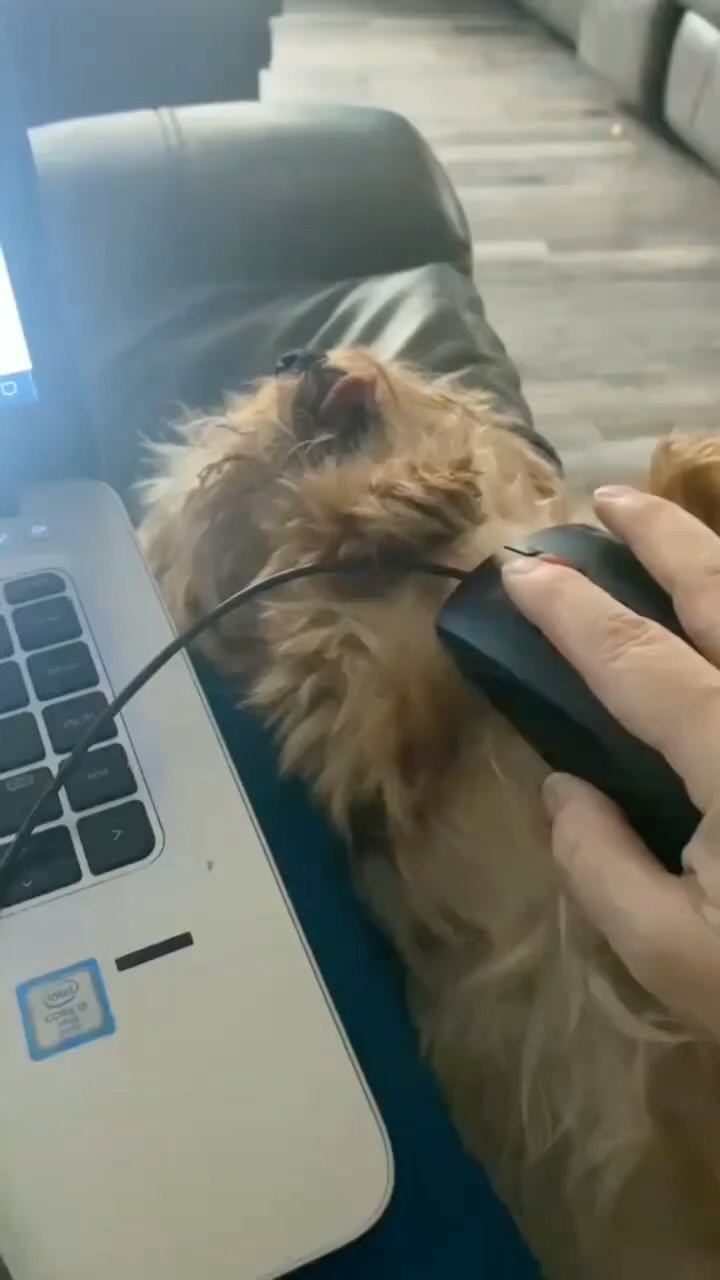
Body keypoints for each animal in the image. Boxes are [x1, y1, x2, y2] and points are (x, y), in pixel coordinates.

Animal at [140, 348, 720, 1278]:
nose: (299, 356)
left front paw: (690, 464)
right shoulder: (359, 712)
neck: (465, 563)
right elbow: (329, 593)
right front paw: (383, 496)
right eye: (233, 467)